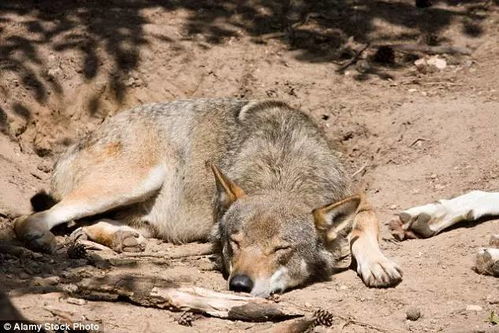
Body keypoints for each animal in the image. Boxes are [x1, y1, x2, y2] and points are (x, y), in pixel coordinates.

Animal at [15, 98, 404, 296]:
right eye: (235, 242)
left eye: (281, 249)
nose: (240, 285)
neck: (283, 170)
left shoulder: (356, 195)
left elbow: (366, 219)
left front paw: (377, 263)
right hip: (133, 181)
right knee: (32, 219)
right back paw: (44, 239)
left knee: (84, 224)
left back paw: (123, 238)